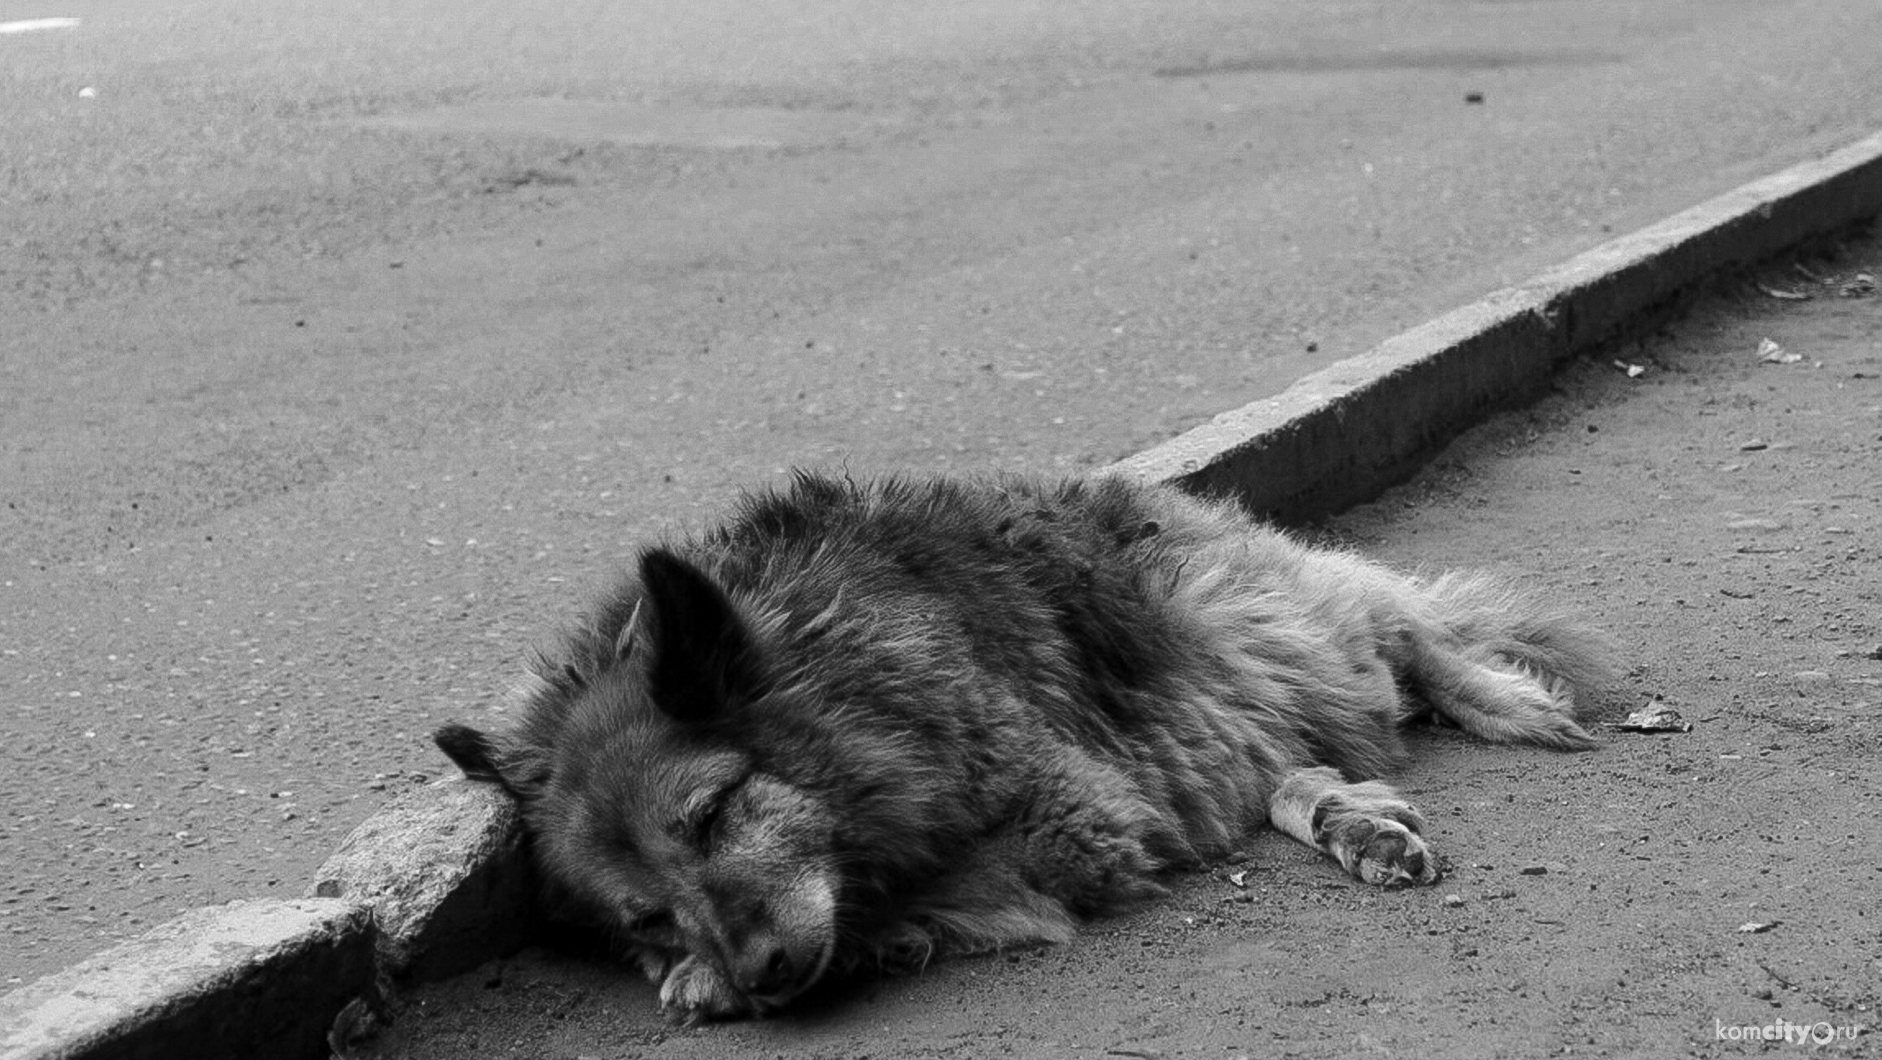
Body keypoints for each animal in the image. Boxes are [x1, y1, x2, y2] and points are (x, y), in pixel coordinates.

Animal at [432, 472, 1610, 1016]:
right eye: (641, 911)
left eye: (714, 814)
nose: (761, 977)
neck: (843, 680)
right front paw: (688, 969)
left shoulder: (1073, 818)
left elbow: (901, 897)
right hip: (1210, 727)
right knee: (1284, 769)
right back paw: (1349, 818)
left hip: (1278, 631)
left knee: (1404, 630)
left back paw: (1499, 696)